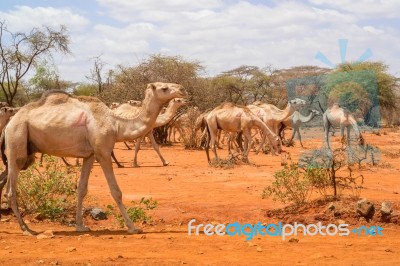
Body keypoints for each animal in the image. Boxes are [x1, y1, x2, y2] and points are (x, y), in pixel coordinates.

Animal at [0, 82, 187, 234]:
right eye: (164, 88)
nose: (183, 90)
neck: (116, 124)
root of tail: (8, 125)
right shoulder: (102, 151)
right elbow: (116, 191)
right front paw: (133, 227)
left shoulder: (90, 155)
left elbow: (82, 189)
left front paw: (80, 226)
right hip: (17, 140)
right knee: (10, 190)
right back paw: (26, 228)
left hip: (25, 152)